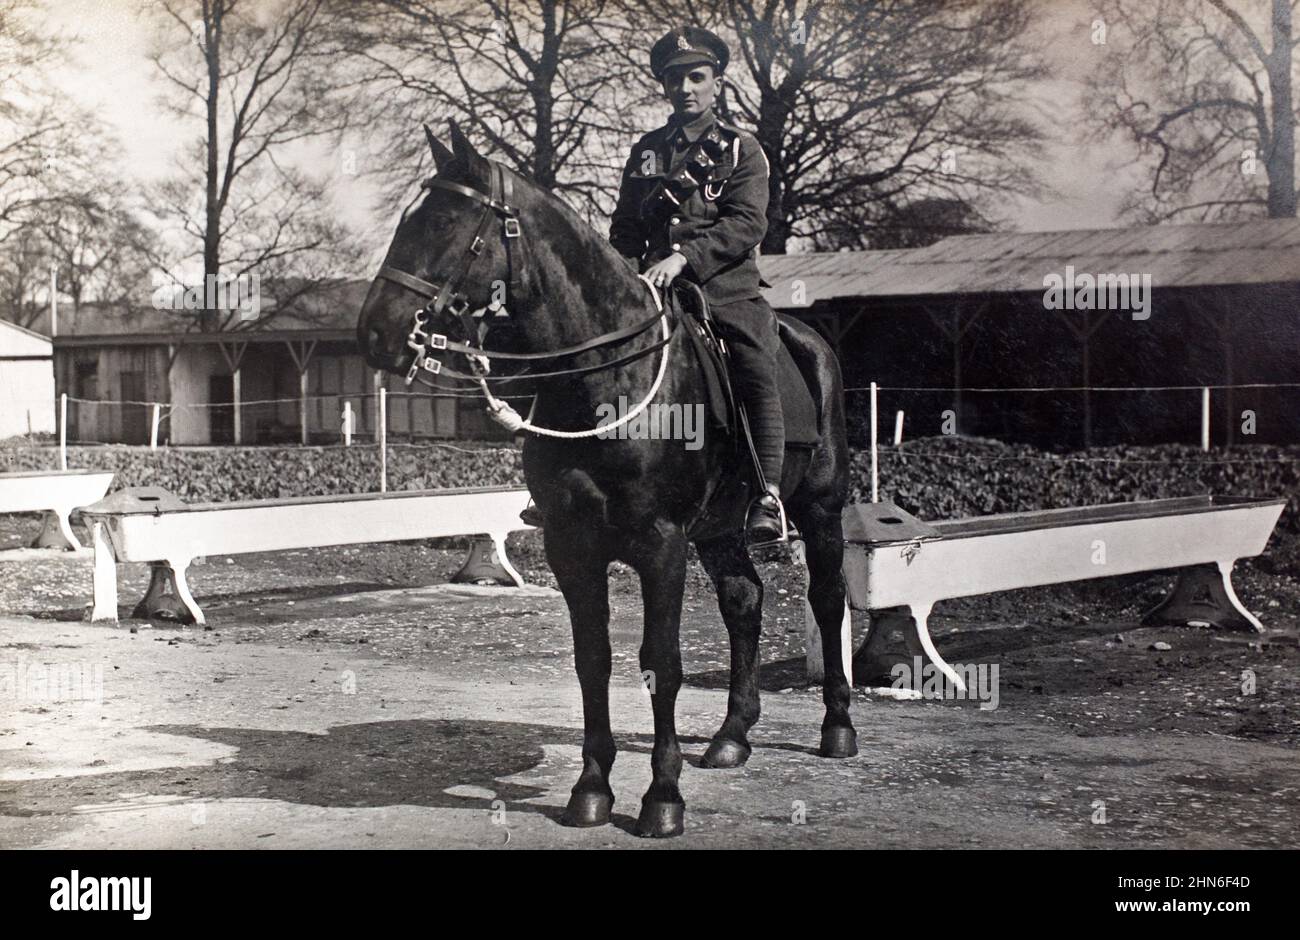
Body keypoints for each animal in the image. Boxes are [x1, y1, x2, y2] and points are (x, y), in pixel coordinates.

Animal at [361, 124, 857, 837]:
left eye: (452, 224)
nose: (375, 331)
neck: (604, 375)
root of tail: (807, 339)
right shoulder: (573, 545)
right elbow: (591, 661)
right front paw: (592, 788)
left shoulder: (662, 545)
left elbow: (661, 665)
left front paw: (662, 798)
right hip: (719, 529)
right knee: (744, 601)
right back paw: (732, 736)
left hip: (820, 511)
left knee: (826, 598)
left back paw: (837, 726)